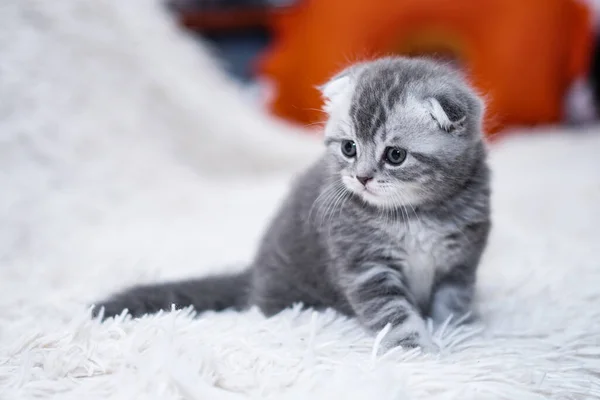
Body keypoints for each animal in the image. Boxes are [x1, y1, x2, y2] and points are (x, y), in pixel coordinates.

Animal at [92, 56, 488, 350]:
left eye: (395, 155)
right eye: (349, 148)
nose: (361, 178)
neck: (415, 213)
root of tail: (254, 276)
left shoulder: (461, 262)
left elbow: (452, 303)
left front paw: (455, 331)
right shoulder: (366, 266)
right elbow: (393, 313)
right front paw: (415, 348)